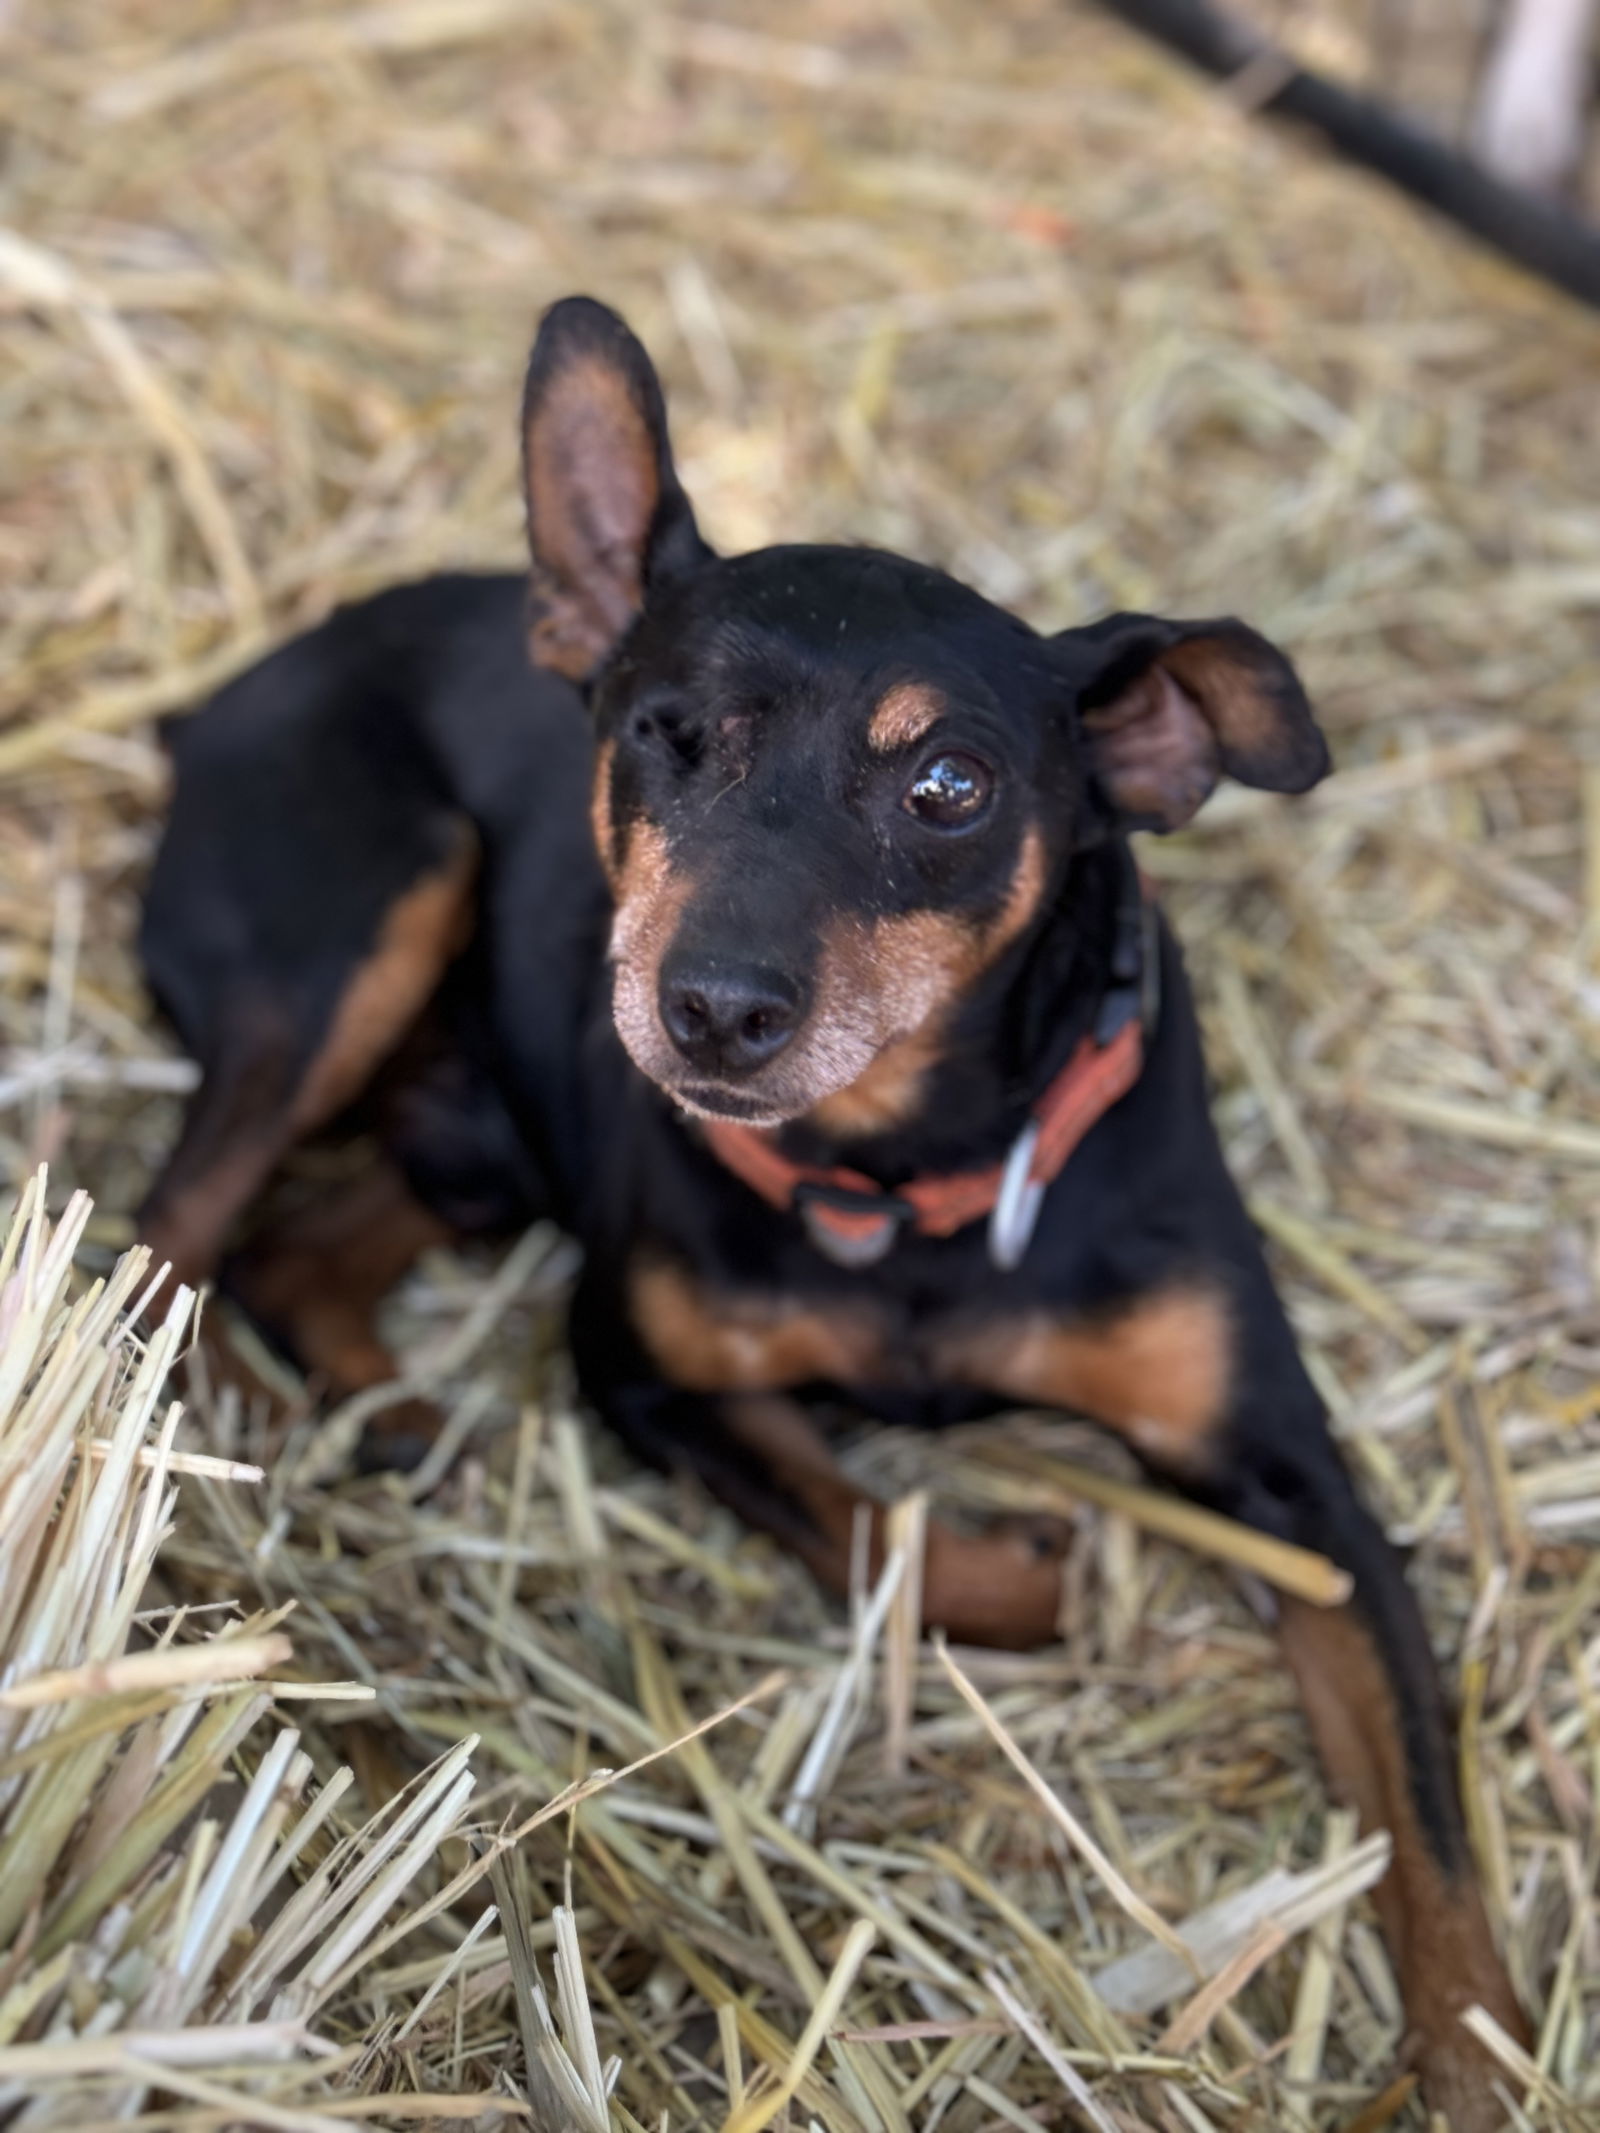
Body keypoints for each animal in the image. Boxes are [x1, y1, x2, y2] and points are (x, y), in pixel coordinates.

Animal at [137, 296, 1527, 2115]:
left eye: (950, 784)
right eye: (662, 730)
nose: (714, 1008)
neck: (904, 1175)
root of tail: (214, 700)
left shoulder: (1300, 1494)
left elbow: (1432, 1831)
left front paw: (1481, 2061)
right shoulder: (640, 1369)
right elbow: (884, 1529)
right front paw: (1039, 1560)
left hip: (484, 1130)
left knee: (294, 1247)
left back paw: (381, 1419)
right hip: (367, 922)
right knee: (167, 1229)